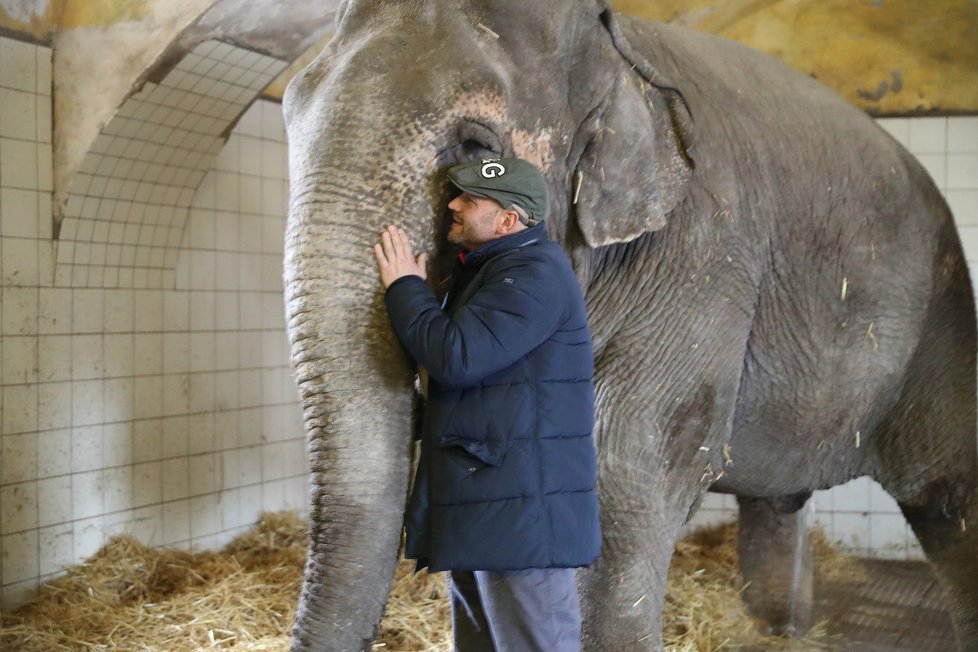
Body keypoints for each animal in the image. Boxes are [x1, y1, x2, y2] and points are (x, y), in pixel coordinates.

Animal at [280, 1, 976, 652]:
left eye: (476, 148)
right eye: (287, 112)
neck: (619, 48)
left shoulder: (706, 250)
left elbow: (630, 458)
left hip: (940, 314)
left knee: (947, 498)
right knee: (780, 499)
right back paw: (779, 629)